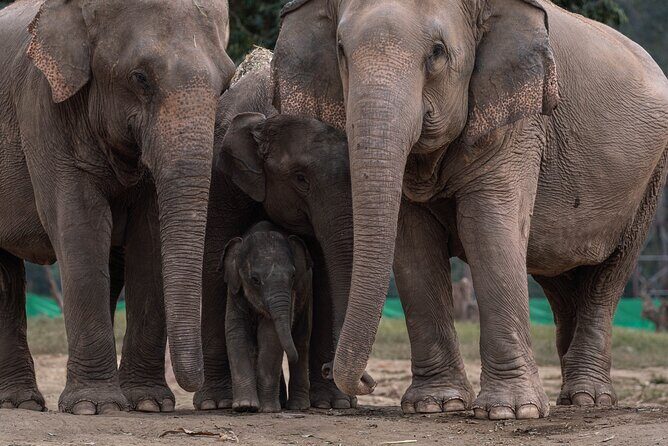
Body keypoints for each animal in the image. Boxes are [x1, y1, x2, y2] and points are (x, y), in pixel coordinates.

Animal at [0, 0, 235, 414]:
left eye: (226, 84)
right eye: (140, 78)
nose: (197, 391)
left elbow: (150, 237)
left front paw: (148, 404)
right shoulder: (41, 109)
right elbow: (80, 224)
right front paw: (95, 407)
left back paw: (22, 401)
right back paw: (24, 403)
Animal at [221, 220, 312, 413]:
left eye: (293, 275)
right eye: (255, 279)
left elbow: (270, 336)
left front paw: (268, 409)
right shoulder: (234, 290)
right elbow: (236, 333)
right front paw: (245, 406)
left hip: (307, 292)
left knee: (301, 339)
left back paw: (297, 406)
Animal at [272, 0, 668, 420]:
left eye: (437, 52)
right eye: (341, 51)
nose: (366, 380)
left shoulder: (521, 120)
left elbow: (487, 225)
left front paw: (510, 412)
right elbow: (412, 241)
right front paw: (434, 405)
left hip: (649, 183)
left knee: (607, 274)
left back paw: (588, 399)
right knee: (559, 279)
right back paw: (569, 396)